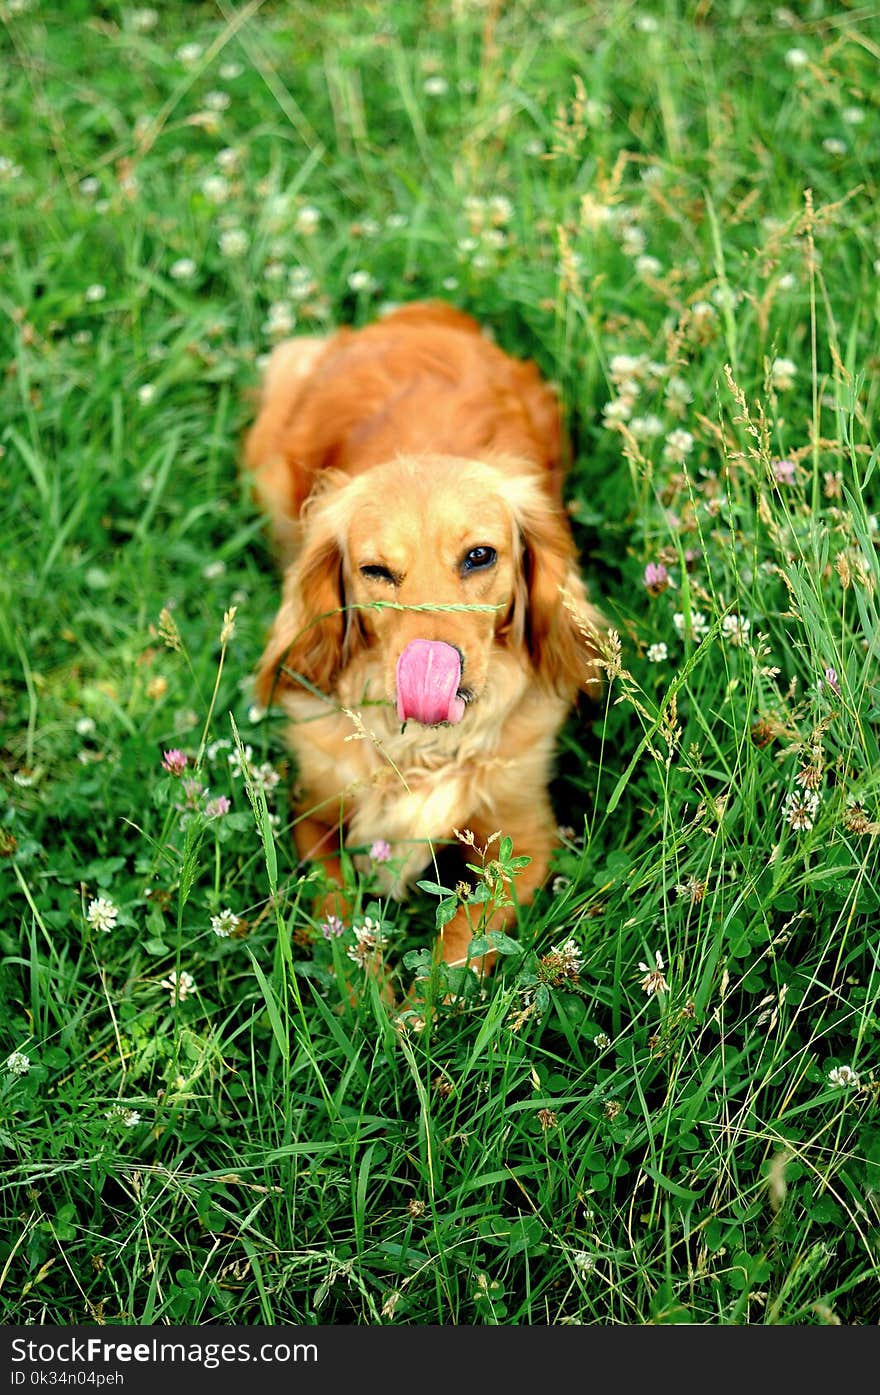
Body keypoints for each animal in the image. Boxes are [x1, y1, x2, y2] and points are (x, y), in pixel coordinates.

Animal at [244, 302, 608, 982]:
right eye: (375, 570)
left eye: (479, 556)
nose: (437, 672)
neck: (423, 752)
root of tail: (421, 313)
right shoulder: (314, 822)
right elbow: (343, 930)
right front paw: (370, 1001)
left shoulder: (521, 838)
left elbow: (460, 949)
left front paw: (423, 1006)